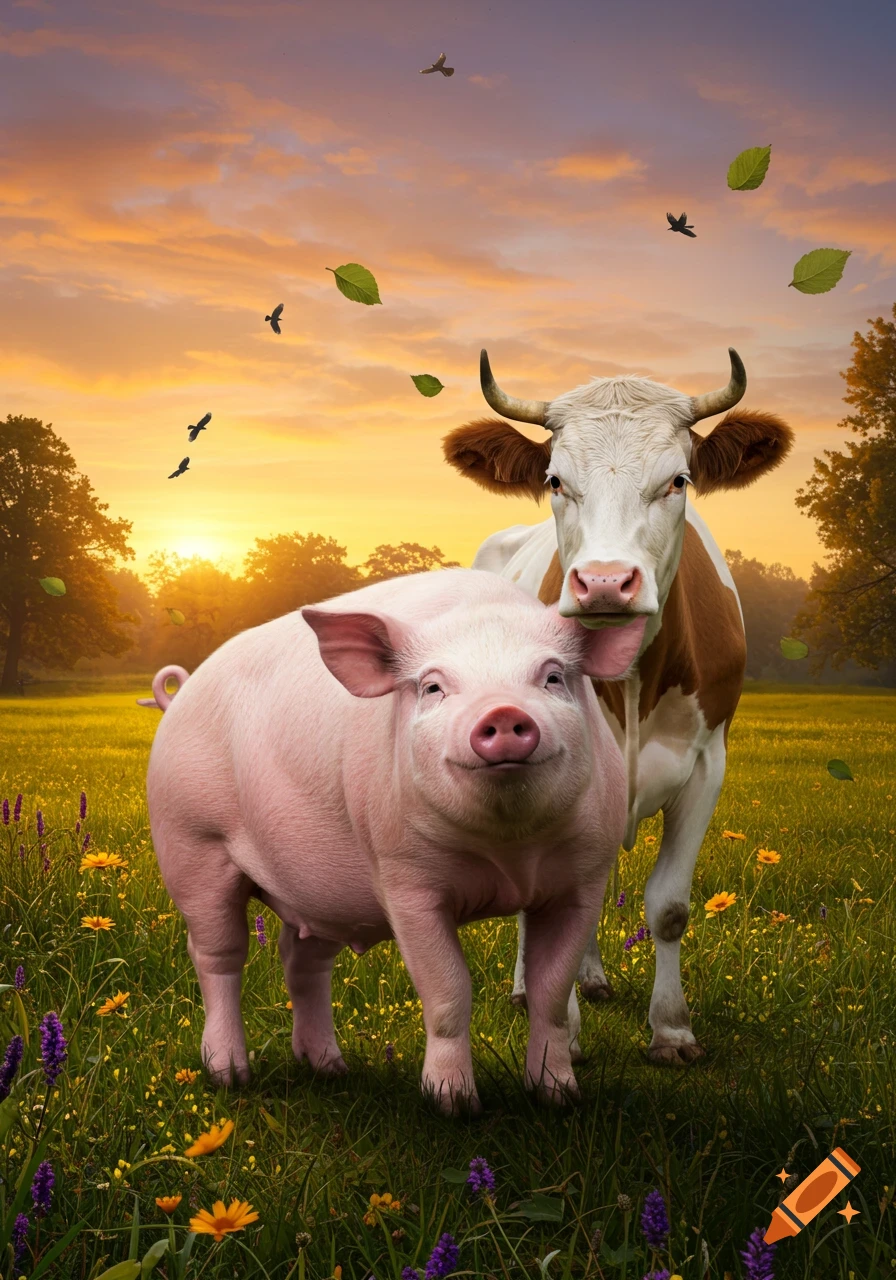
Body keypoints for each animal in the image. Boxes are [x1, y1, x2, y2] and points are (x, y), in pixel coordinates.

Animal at [142, 568, 626, 1114]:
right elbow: (449, 990)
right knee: (218, 955)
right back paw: (229, 1076)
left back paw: (332, 1069)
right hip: (192, 845)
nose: (502, 712)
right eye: (433, 686)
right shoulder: (405, 879)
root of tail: (180, 696)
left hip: (321, 893)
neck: (509, 854)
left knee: (302, 960)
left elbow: (552, 993)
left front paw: (559, 1097)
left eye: (552, 677)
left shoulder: (583, 878)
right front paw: (454, 1106)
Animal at [442, 348, 794, 1064]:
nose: (605, 583)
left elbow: (669, 907)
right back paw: (528, 990)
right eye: (555, 480)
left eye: (678, 480)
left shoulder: (707, 763)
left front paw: (672, 1029)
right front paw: (557, 1037)